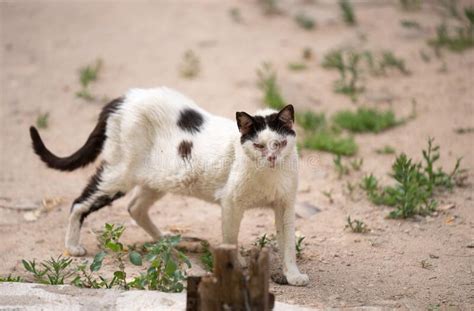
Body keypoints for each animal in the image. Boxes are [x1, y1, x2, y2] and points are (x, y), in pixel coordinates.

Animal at [30, 86, 312, 286]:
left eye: (279, 144)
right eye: (258, 145)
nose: (272, 158)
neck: (269, 175)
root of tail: (125, 98)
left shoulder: (285, 206)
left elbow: (288, 244)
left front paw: (293, 275)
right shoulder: (231, 203)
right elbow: (230, 240)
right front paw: (236, 265)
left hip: (160, 178)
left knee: (135, 208)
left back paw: (166, 242)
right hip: (119, 174)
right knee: (79, 203)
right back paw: (72, 246)